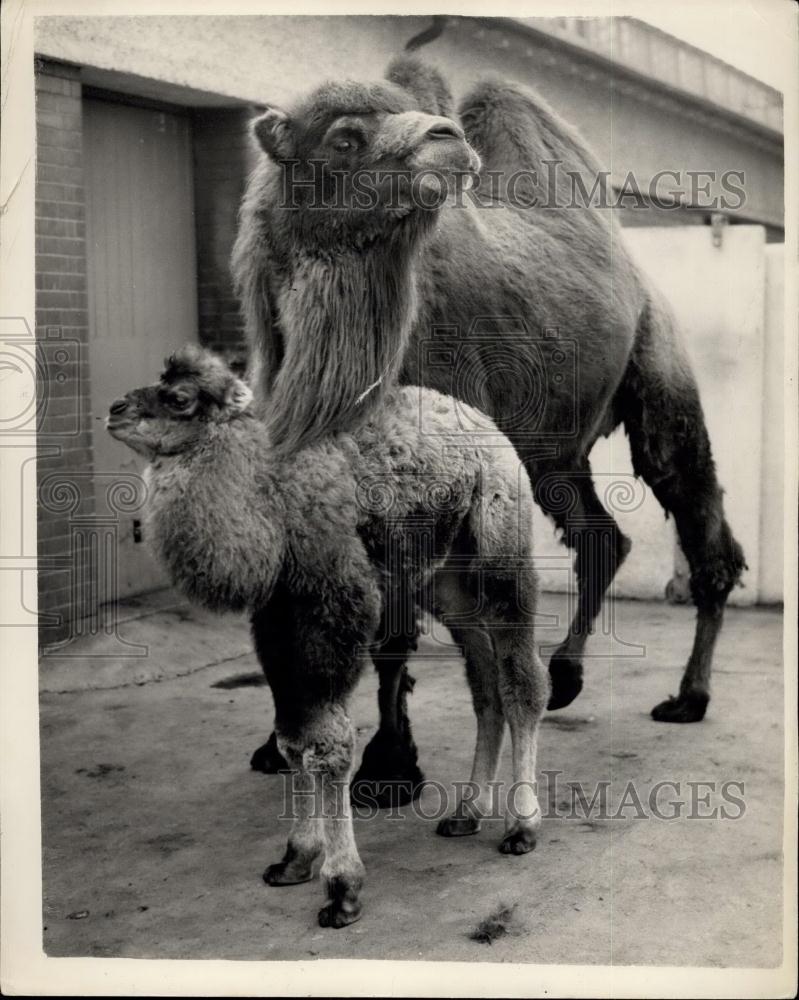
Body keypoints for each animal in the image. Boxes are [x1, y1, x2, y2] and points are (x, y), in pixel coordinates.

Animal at [108, 346, 552, 928]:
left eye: (180, 398)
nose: (114, 409)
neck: (270, 503)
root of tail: (488, 427)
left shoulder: (336, 604)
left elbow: (331, 744)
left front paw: (342, 887)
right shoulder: (275, 621)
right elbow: (293, 739)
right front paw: (295, 858)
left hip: (501, 545)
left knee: (522, 683)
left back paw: (522, 827)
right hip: (446, 579)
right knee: (484, 683)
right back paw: (465, 813)